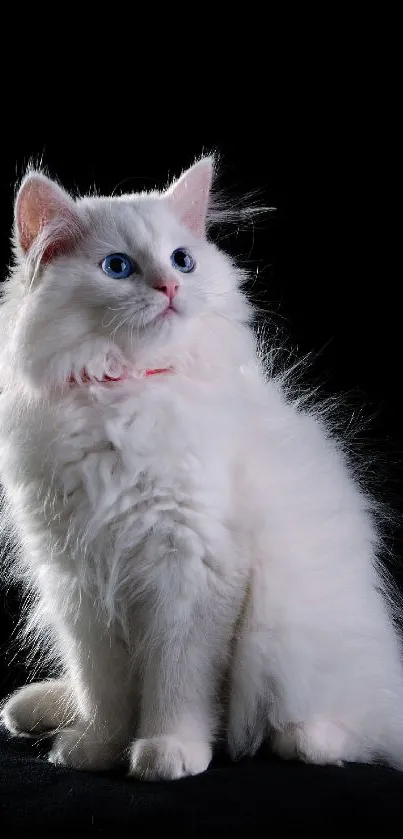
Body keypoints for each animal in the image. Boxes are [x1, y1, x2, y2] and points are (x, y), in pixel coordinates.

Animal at [0, 159, 403, 780]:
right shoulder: (80, 582)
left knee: (357, 726)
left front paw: (168, 750)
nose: (171, 287)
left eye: (182, 259)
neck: (123, 392)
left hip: (292, 633)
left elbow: (176, 683)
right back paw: (38, 708)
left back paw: (307, 738)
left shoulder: (190, 567)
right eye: (117, 267)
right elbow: (104, 691)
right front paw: (96, 749)